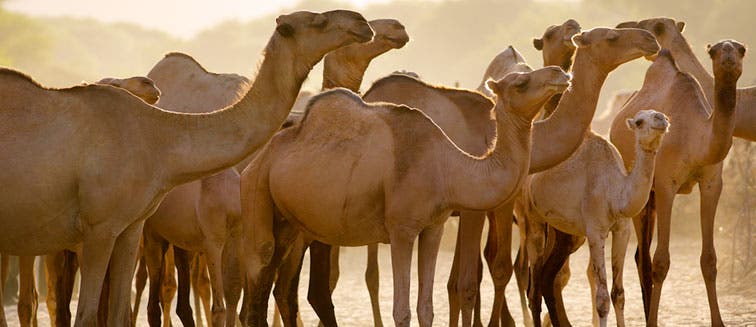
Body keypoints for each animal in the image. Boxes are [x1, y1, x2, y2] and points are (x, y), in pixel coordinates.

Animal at [0, 9, 374, 326]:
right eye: (317, 21)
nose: (362, 22)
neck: (157, 139)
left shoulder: (129, 227)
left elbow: (119, 314)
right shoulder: (98, 227)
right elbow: (89, 316)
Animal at [242, 66, 572, 327]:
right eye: (520, 82)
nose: (559, 73)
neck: (447, 167)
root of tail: (260, 158)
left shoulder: (434, 227)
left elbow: (426, 308)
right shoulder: (401, 229)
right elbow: (401, 311)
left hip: (291, 225)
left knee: (275, 289)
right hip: (258, 195)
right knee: (259, 277)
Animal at [520, 111, 672, 327]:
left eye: (660, 115)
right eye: (639, 121)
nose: (662, 119)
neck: (616, 193)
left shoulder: (622, 230)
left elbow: (618, 294)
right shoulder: (595, 231)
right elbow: (602, 299)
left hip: (564, 231)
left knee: (547, 277)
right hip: (533, 217)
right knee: (534, 291)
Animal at [608, 41, 744, 327]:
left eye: (741, 49)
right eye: (714, 51)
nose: (728, 53)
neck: (695, 137)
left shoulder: (712, 183)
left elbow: (709, 260)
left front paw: (719, 321)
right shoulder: (666, 185)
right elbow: (661, 262)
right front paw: (652, 322)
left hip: (650, 198)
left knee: (641, 256)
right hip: (641, 193)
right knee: (645, 260)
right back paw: (649, 316)